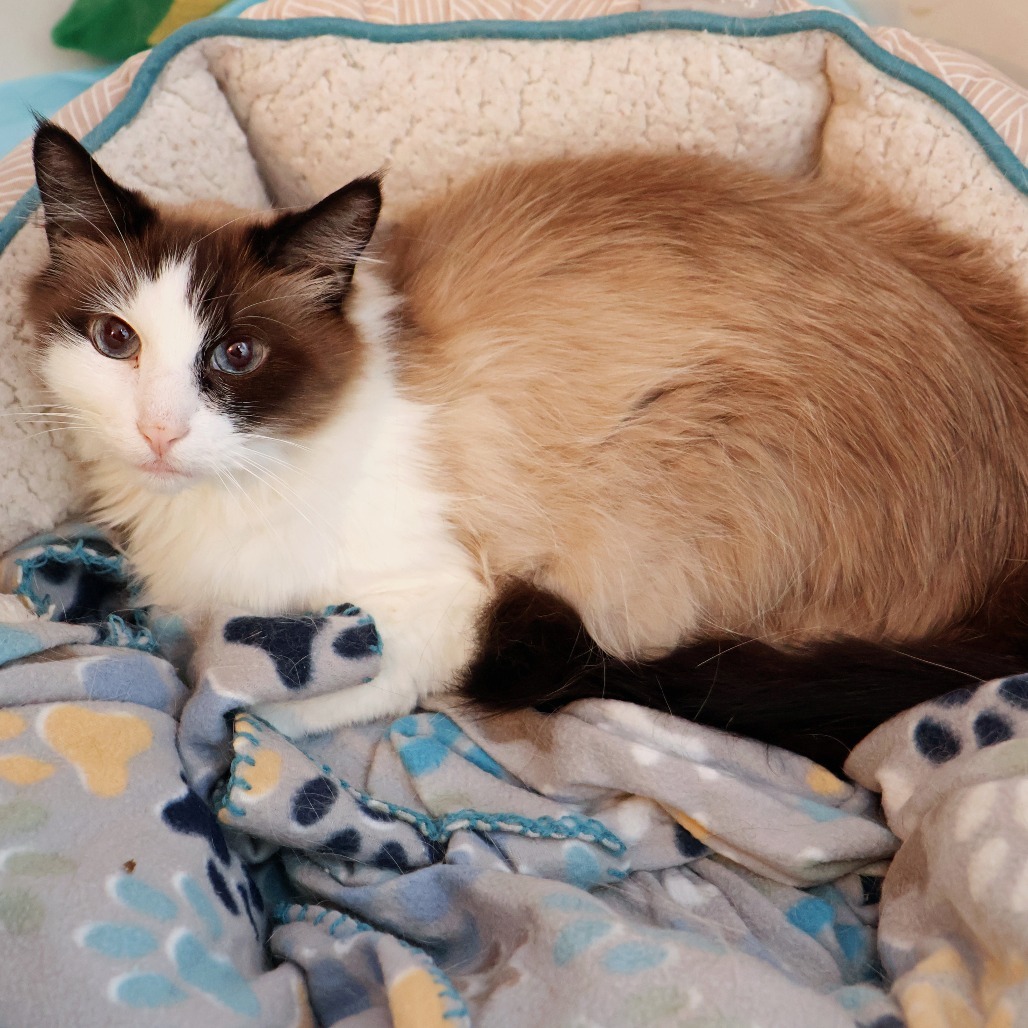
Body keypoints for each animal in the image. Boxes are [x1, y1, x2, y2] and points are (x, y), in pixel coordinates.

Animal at [24, 122, 1028, 773]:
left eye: (235, 357)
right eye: (116, 342)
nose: (158, 431)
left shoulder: (443, 606)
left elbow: (268, 697)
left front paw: (240, 727)